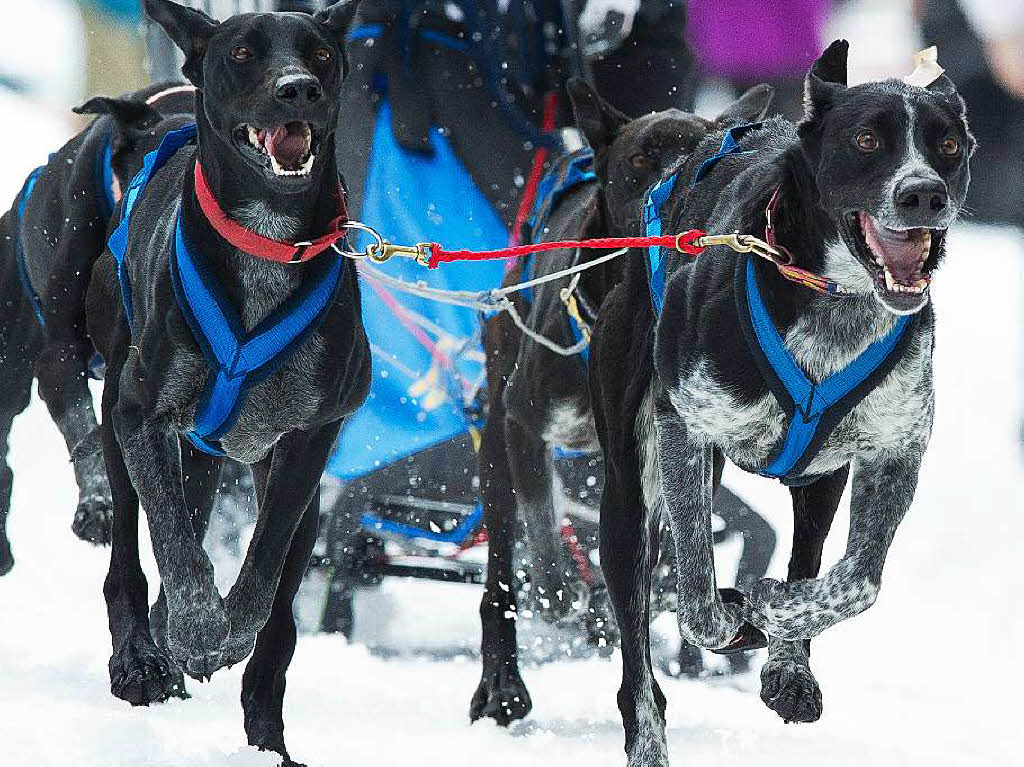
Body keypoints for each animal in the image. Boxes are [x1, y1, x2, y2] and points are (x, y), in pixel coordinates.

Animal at [87, 1, 368, 761]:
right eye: (242, 52)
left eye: (321, 53)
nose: (298, 88)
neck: (267, 241)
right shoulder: (141, 414)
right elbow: (176, 544)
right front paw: (193, 629)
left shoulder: (308, 437)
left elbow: (265, 563)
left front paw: (228, 630)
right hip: (120, 422)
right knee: (130, 557)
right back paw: (140, 659)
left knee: (280, 618)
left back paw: (266, 735)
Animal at [468, 76, 770, 725]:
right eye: (639, 162)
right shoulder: (525, 422)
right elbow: (544, 526)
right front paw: (560, 590)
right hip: (496, 441)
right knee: (500, 567)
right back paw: (503, 681)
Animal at [589, 40, 970, 761]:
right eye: (867, 139)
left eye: (948, 145)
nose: (924, 193)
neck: (834, 300)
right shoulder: (684, 433)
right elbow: (698, 598)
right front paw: (739, 613)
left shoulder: (894, 452)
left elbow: (854, 581)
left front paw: (774, 618)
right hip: (628, 494)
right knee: (639, 649)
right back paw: (649, 728)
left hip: (817, 483)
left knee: (808, 557)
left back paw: (787, 663)